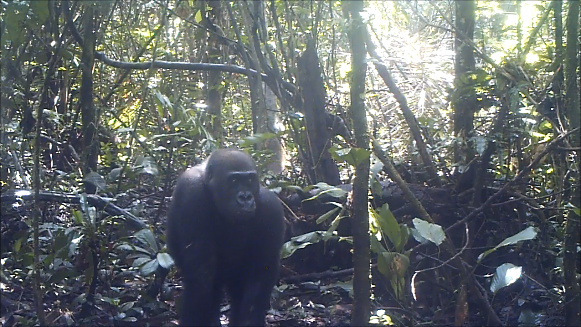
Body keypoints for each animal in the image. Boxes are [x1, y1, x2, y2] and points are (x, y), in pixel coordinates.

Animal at [165, 149, 286, 327]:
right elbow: (202, 275)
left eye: (250, 180)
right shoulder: (192, 194)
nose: (246, 197)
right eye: (233, 181)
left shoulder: (272, 209)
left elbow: (260, 273)